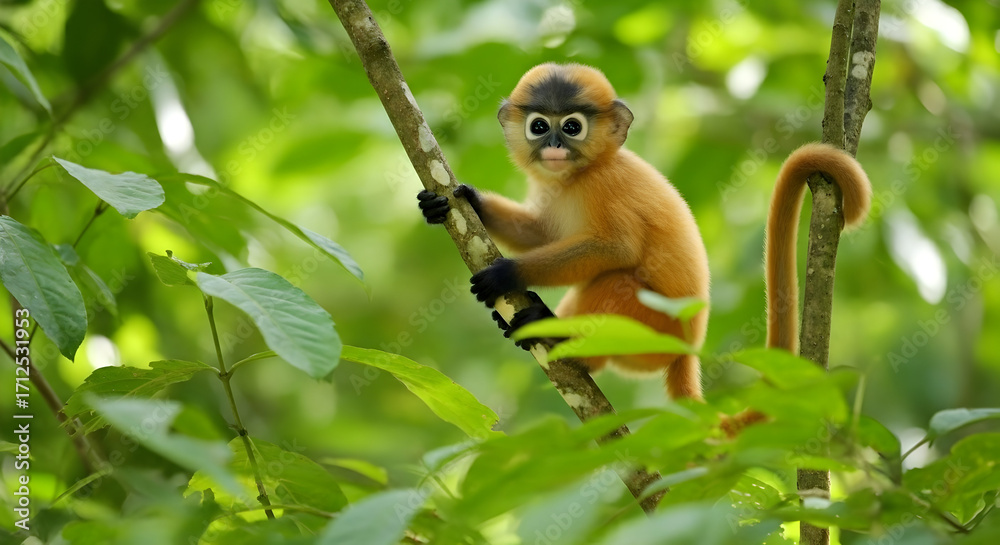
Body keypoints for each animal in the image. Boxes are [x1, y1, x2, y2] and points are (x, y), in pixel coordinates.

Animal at [419, 63, 710, 400]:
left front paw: (506, 274)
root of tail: (688, 350)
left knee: (618, 280)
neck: (580, 175)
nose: (554, 145)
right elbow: (541, 235)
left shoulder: (606, 184)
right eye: (539, 126)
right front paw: (467, 202)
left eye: (572, 127)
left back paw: (558, 336)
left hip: (655, 332)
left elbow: (617, 248)